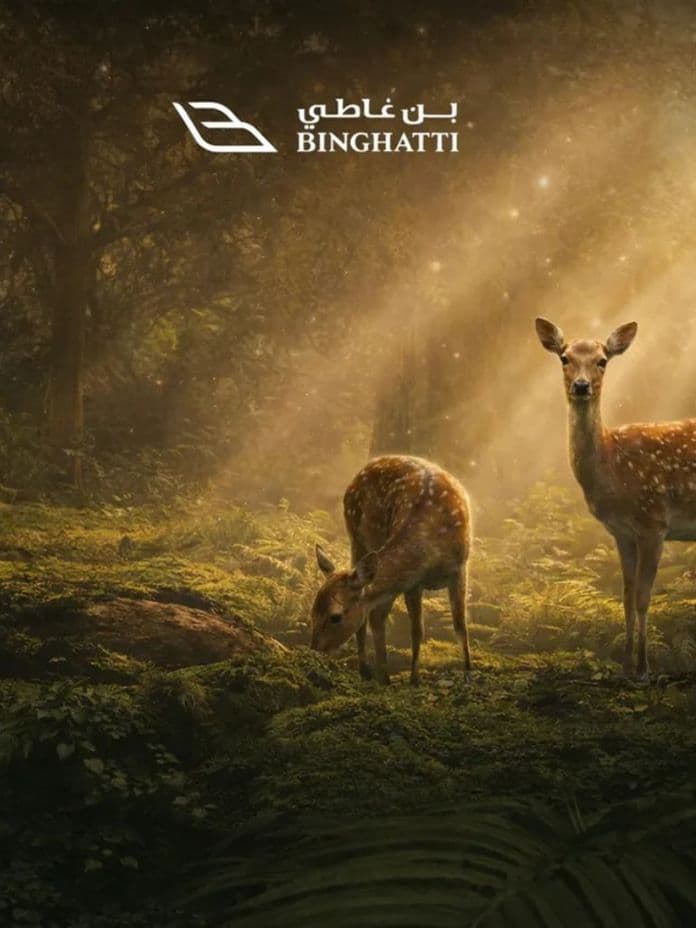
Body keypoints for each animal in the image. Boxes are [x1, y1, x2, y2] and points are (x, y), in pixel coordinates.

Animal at [310, 455, 472, 685]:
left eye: (335, 616)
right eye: (312, 611)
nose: (314, 651)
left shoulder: (459, 568)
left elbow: (459, 624)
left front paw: (469, 671)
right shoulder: (414, 582)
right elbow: (417, 630)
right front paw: (413, 679)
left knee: (375, 615)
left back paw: (379, 673)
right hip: (358, 538)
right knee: (374, 616)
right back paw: (370, 671)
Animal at [536, 316, 696, 681]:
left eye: (602, 360)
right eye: (564, 357)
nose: (581, 386)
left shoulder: (654, 523)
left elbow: (643, 597)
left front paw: (643, 670)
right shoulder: (621, 532)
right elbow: (624, 595)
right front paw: (624, 666)